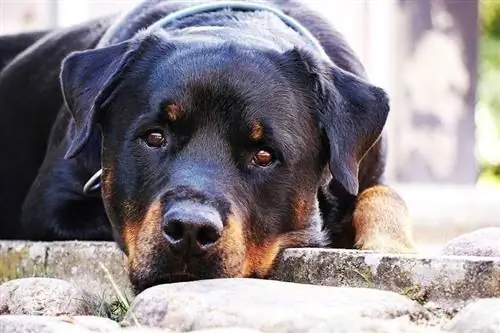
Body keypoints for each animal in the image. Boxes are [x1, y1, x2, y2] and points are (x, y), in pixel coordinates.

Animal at [0, 0, 414, 290]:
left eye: (264, 155)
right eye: (154, 137)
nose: (190, 230)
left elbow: (383, 195)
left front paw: (390, 244)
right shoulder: (53, 206)